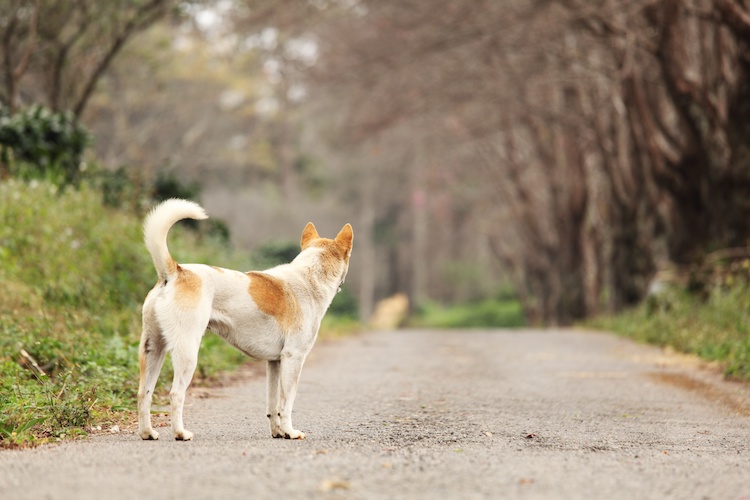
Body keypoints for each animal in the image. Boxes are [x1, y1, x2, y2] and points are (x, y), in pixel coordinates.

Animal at [138, 199, 356, 442]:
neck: (309, 277)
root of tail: (176, 272)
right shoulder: (294, 358)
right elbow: (287, 403)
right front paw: (290, 432)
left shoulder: (275, 363)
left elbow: (273, 405)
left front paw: (278, 432)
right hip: (187, 353)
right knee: (176, 394)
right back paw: (180, 433)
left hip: (153, 350)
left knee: (144, 393)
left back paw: (147, 433)